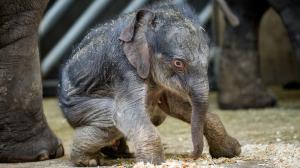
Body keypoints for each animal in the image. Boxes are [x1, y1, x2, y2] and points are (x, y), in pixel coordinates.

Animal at [59, 2, 241, 167]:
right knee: (110, 122)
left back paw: (119, 153)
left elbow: (176, 106)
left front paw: (232, 151)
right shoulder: (123, 66)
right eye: (178, 63)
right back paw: (88, 160)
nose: (192, 155)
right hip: (76, 109)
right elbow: (126, 111)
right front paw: (154, 163)